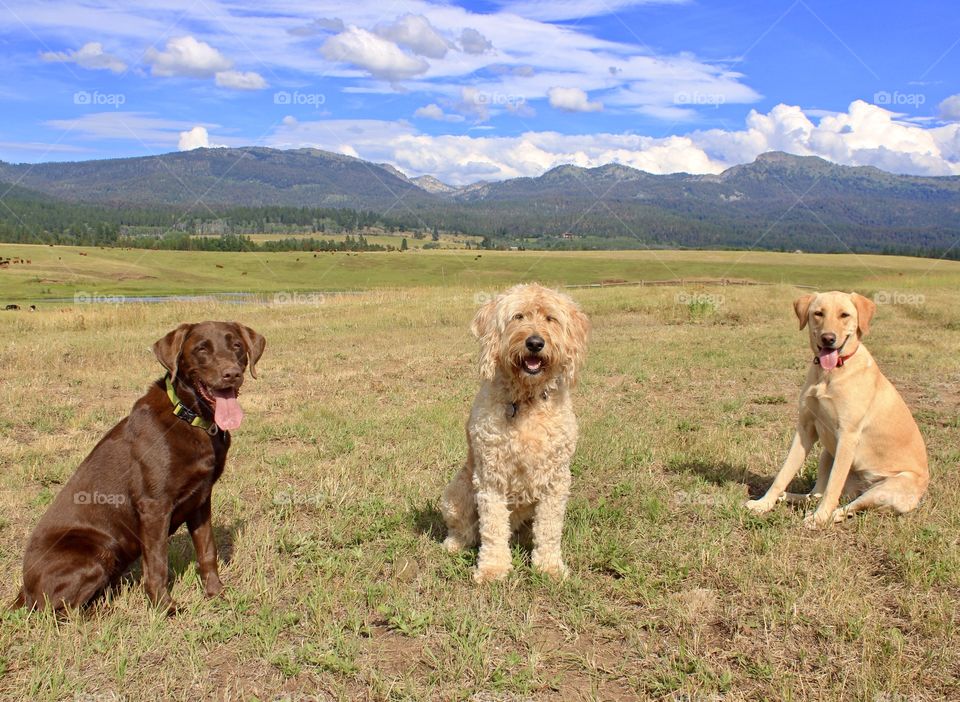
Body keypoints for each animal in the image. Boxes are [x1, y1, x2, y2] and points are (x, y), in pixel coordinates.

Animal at [440, 284, 588, 584]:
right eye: (518, 316)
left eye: (550, 319)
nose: (535, 343)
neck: (527, 400)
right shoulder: (491, 477)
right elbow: (493, 528)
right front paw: (493, 569)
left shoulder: (556, 479)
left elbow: (549, 529)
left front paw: (550, 567)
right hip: (457, 491)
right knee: (464, 529)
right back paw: (455, 544)